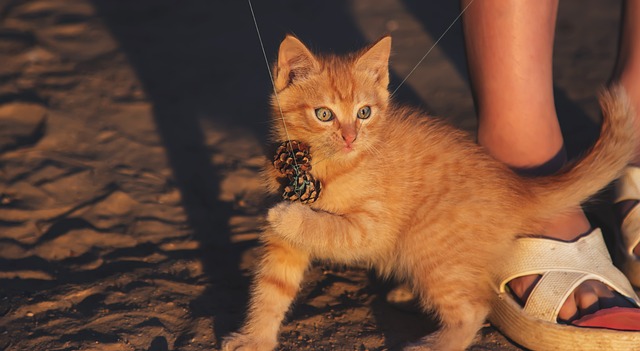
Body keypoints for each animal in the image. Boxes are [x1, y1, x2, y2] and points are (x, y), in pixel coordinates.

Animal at [224, 35, 636, 351]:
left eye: (364, 113)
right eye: (324, 114)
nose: (350, 137)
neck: (328, 165)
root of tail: (516, 183)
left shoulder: (373, 229)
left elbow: (329, 228)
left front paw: (288, 214)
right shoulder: (283, 247)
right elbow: (271, 288)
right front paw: (255, 338)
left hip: (426, 243)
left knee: (474, 307)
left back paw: (437, 343)